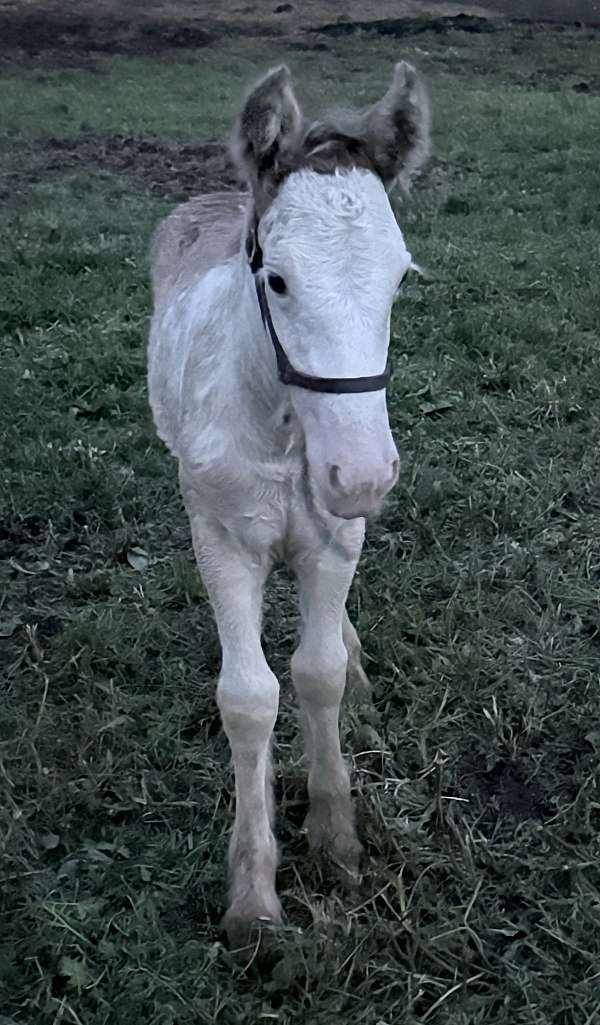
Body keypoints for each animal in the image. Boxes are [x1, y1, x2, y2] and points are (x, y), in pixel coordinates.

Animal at [148, 61, 430, 945]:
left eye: (401, 278)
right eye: (275, 277)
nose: (364, 474)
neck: (281, 429)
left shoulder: (334, 535)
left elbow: (318, 671)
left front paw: (335, 835)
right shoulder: (223, 539)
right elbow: (248, 697)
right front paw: (253, 892)